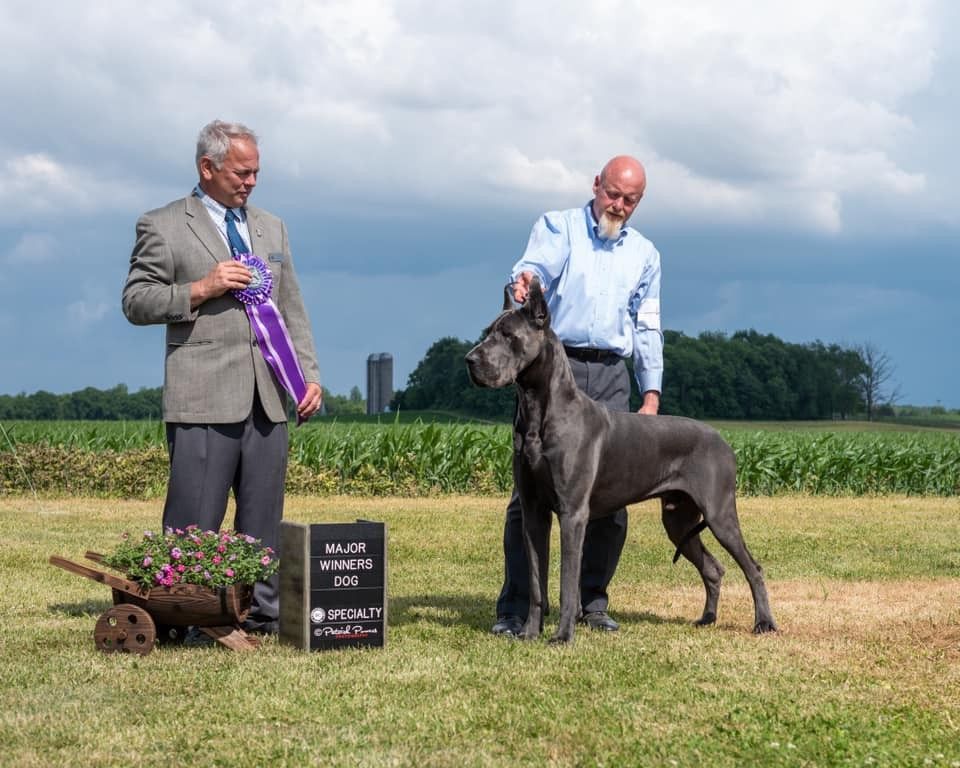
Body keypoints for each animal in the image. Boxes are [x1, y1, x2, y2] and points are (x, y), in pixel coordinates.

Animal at [465, 278, 777, 643]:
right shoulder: (533, 511)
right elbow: (536, 580)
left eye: (508, 335)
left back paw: (764, 623)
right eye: (487, 332)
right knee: (714, 568)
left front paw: (563, 636)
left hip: (719, 513)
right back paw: (707, 618)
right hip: (678, 520)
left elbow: (568, 583)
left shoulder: (573, 513)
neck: (539, 410)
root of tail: (724, 441)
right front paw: (529, 633)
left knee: (753, 568)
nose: (470, 360)